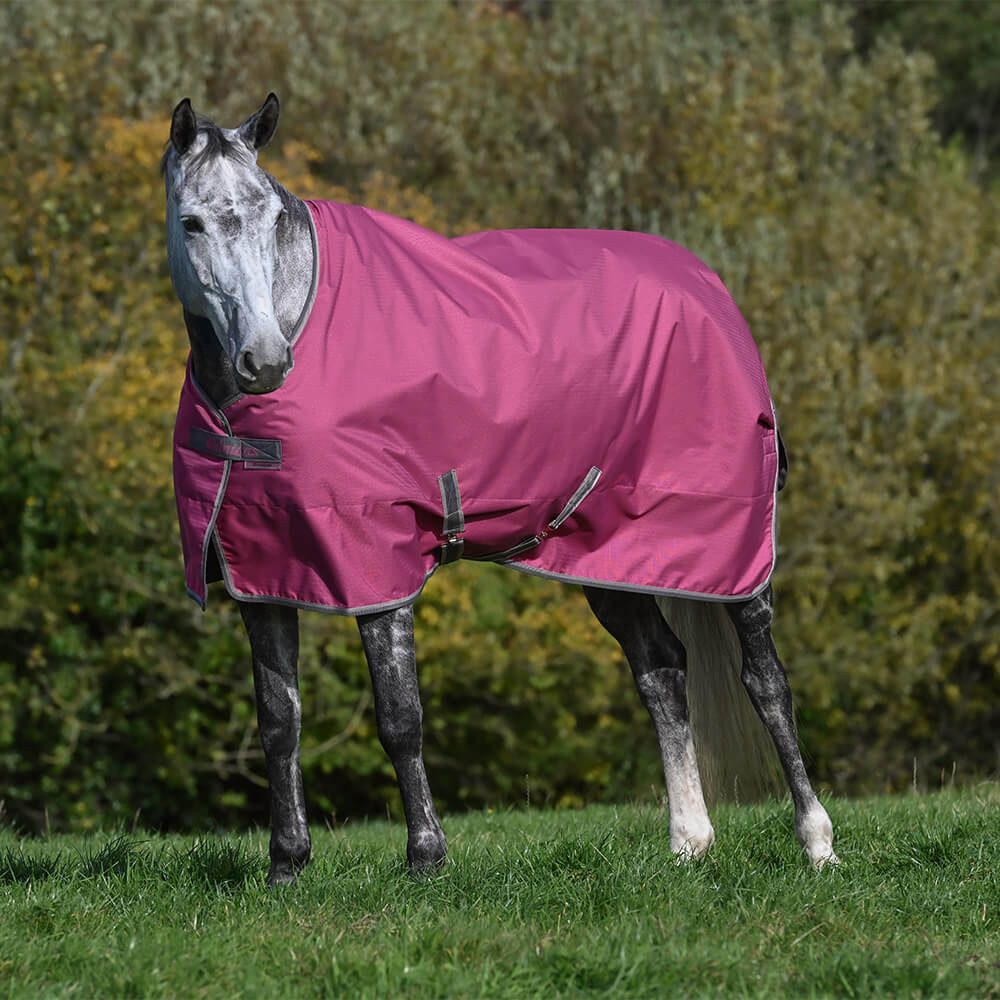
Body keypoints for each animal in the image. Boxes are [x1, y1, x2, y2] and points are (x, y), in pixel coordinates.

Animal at [162, 94, 837, 887]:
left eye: (270, 218)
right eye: (191, 222)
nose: (264, 361)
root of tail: (711, 291)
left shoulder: (376, 567)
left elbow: (400, 717)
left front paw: (426, 860)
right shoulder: (263, 576)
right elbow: (279, 720)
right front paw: (286, 868)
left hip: (730, 550)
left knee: (766, 680)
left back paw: (816, 841)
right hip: (610, 554)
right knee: (661, 670)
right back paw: (689, 843)